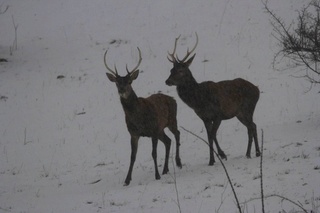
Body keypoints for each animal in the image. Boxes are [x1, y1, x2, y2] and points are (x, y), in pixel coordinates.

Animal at [105, 47, 182, 186]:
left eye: (129, 81)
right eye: (117, 83)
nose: (122, 90)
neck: (138, 117)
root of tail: (173, 99)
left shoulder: (153, 130)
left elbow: (154, 153)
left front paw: (156, 175)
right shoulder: (134, 133)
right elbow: (132, 156)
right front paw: (127, 180)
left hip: (172, 120)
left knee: (177, 134)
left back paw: (178, 163)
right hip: (161, 129)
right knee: (168, 141)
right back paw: (165, 169)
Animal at [165, 32, 260, 166]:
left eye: (180, 70)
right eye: (171, 70)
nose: (167, 81)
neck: (199, 100)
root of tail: (257, 89)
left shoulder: (218, 114)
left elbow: (212, 135)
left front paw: (220, 156)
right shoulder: (205, 118)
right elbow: (209, 136)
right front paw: (213, 159)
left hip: (248, 108)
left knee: (252, 127)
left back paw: (254, 153)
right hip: (240, 113)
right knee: (252, 126)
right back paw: (251, 153)